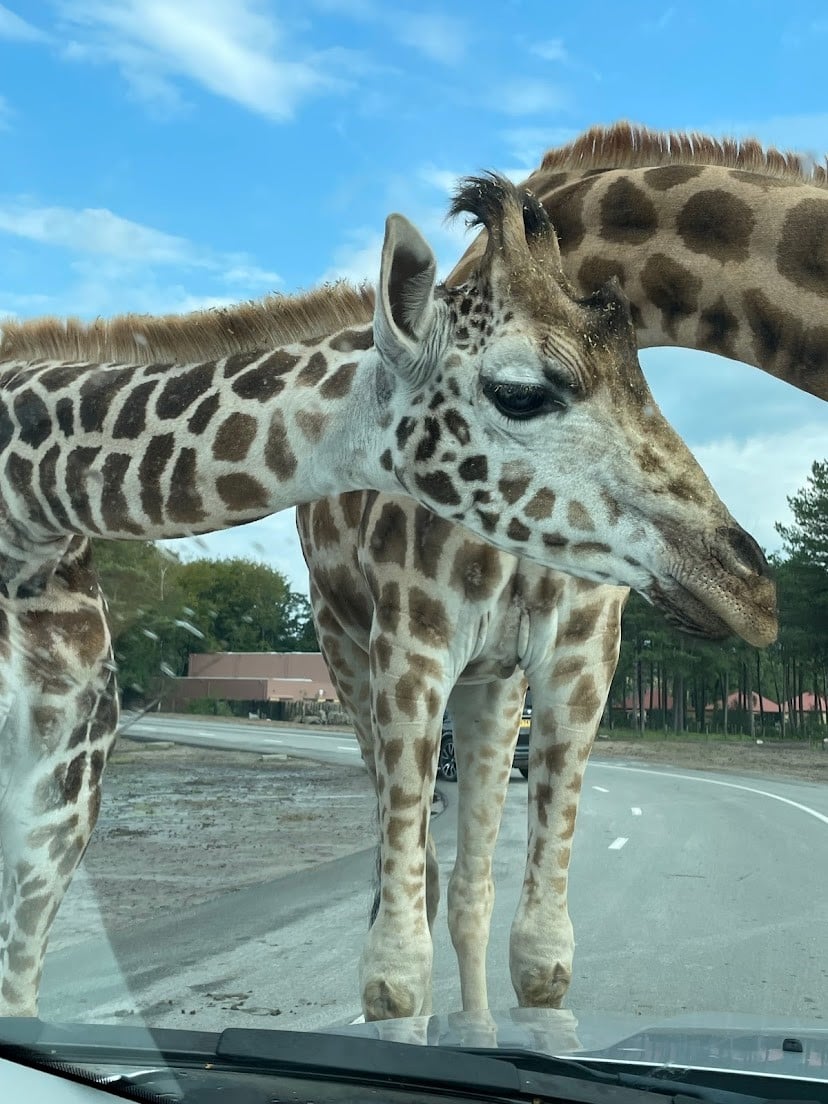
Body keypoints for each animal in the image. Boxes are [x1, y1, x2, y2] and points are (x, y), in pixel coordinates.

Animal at [295, 120, 825, 1015]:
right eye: (522, 391)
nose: (748, 583)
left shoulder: (578, 659)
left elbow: (542, 959)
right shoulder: (413, 645)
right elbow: (396, 972)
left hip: (491, 683)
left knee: (469, 888)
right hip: (349, 653)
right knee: (418, 877)